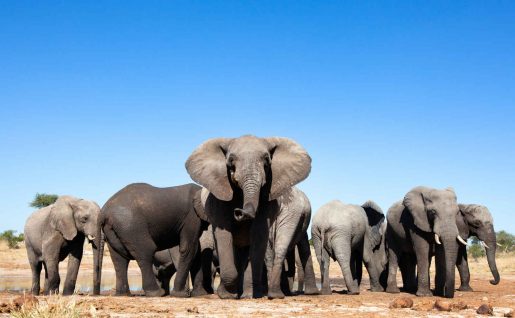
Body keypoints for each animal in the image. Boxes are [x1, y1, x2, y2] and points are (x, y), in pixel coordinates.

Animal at [187, 135, 312, 300]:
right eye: (231, 161)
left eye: (266, 161)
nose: (239, 212)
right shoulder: (219, 195)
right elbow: (224, 234)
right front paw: (227, 295)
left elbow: (258, 234)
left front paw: (248, 295)